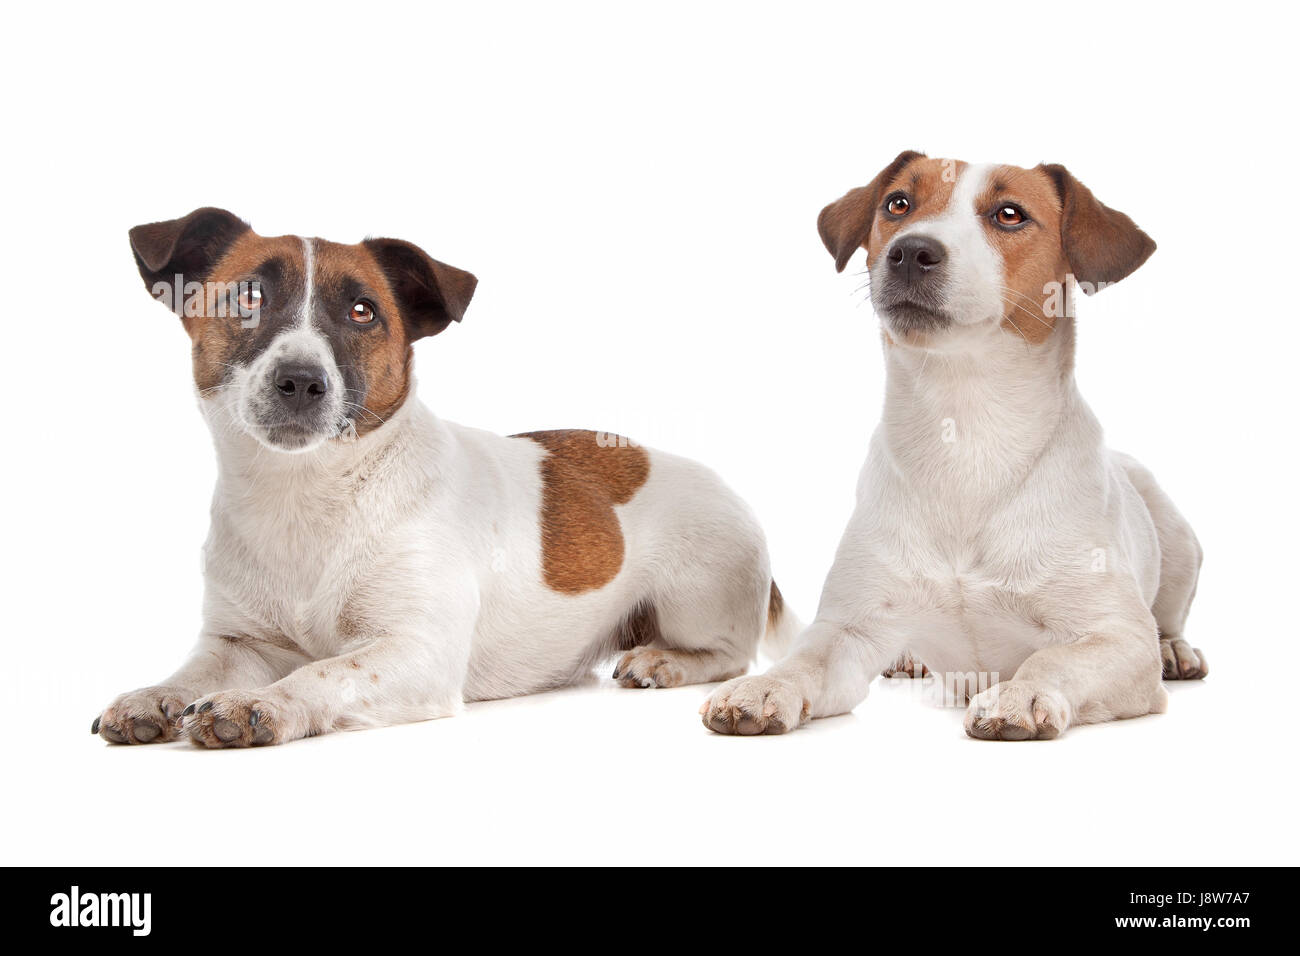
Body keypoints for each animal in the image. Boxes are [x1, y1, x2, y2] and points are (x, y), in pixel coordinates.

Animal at [89, 208, 790, 749]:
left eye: (364, 311)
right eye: (248, 297)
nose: (301, 381)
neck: (308, 493)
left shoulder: (415, 652)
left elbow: (321, 674)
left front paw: (261, 704)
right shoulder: (238, 641)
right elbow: (195, 670)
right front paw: (155, 695)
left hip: (695, 596)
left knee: (728, 652)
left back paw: (662, 661)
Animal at [702, 155, 1206, 738]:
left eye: (1010, 213)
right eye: (897, 203)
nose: (910, 252)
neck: (965, 432)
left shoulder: (1116, 637)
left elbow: (1053, 659)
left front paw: (1022, 693)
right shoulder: (851, 626)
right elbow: (806, 659)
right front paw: (764, 685)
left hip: (1177, 538)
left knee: (1167, 616)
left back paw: (1176, 649)